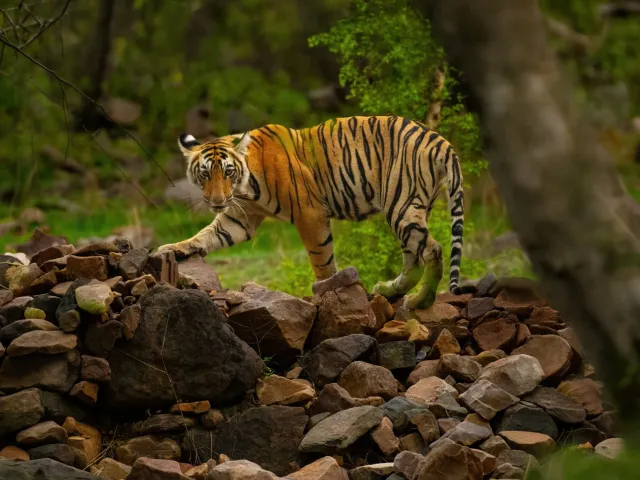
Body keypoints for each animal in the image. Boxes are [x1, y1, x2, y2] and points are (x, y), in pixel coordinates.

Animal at [157, 115, 464, 309]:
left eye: (228, 172)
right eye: (205, 174)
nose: (217, 200)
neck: (245, 185)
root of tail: (440, 141)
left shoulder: (310, 213)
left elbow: (322, 260)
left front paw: (329, 293)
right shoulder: (239, 218)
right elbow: (206, 235)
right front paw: (172, 248)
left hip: (401, 205)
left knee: (433, 250)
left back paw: (420, 302)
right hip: (409, 209)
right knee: (414, 258)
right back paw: (390, 290)